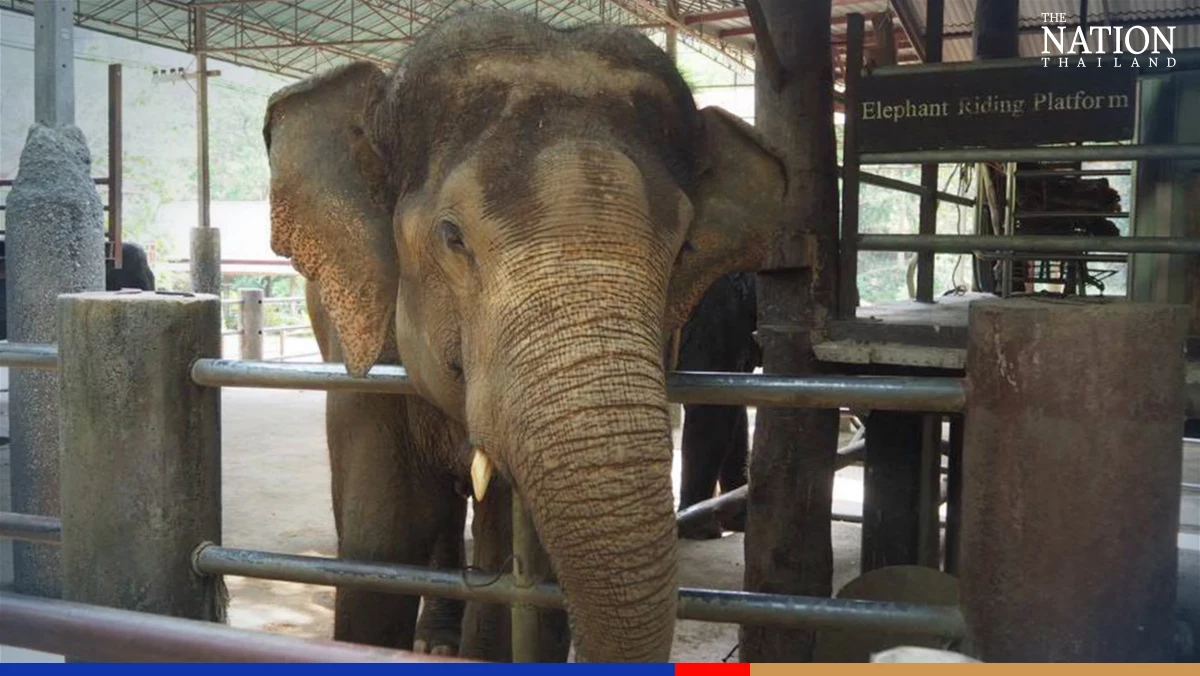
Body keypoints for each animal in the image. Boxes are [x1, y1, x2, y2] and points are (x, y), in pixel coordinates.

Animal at [265, 11, 785, 662]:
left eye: (685, 249)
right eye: (453, 236)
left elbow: (520, 573)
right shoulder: (360, 349)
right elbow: (378, 544)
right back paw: (435, 640)